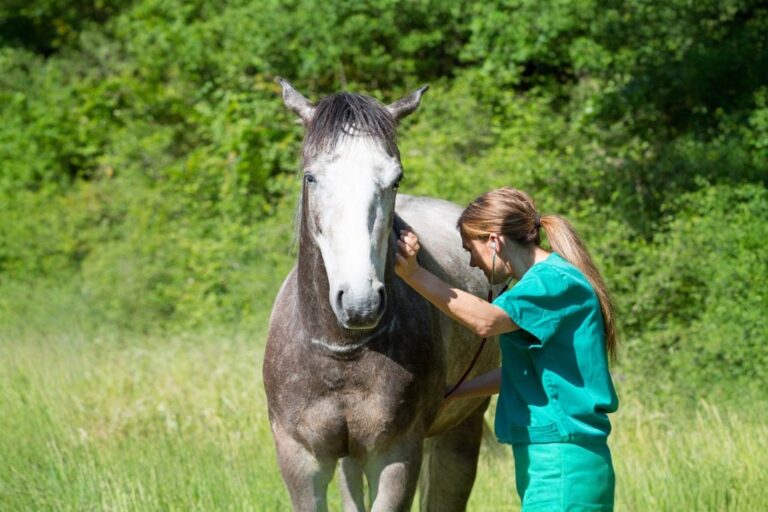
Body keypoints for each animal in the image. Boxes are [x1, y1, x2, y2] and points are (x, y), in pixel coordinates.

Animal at [263, 79, 500, 511]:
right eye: (311, 177)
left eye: (396, 180)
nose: (360, 303)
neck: (342, 351)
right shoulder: (300, 459)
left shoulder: (396, 456)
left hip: (461, 427)